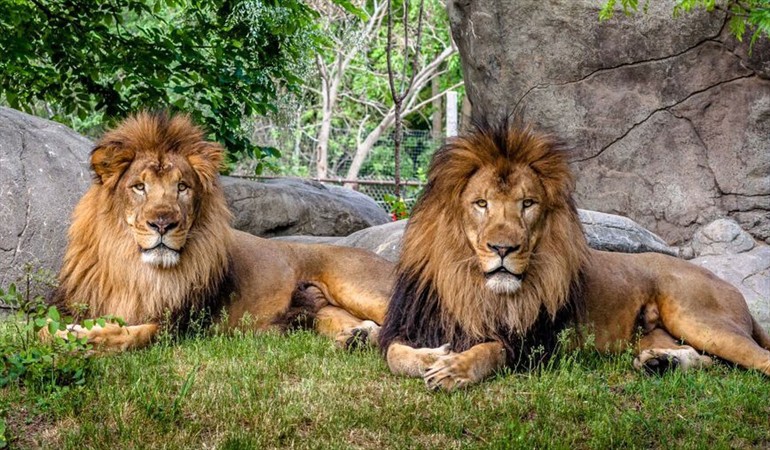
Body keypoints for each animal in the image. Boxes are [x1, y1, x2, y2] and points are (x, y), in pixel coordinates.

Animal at [48, 112, 392, 352]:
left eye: (182, 187)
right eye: (139, 187)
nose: (163, 224)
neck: (136, 268)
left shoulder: (183, 325)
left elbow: (137, 335)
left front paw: (81, 338)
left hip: (357, 287)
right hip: (325, 312)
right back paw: (358, 337)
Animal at [378, 121, 770, 391]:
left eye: (527, 204)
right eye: (481, 204)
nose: (503, 249)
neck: (471, 285)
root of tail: (729, 286)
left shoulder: (534, 346)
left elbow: (491, 349)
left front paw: (453, 369)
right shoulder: (408, 325)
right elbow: (394, 355)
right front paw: (434, 355)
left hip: (699, 318)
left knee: (757, 359)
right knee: (715, 363)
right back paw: (661, 363)